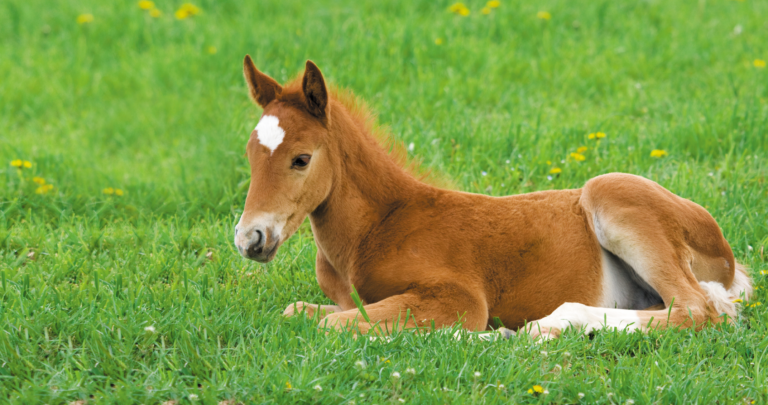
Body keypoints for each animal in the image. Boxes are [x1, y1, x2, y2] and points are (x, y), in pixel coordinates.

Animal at [233, 56, 752, 339]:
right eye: (250, 154)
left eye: (301, 159)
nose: (249, 238)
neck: (376, 230)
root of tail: (730, 261)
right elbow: (298, 313)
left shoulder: (458, 298)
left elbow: (328, 325)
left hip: (610, 192)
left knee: (698, 310)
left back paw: (544, 326)